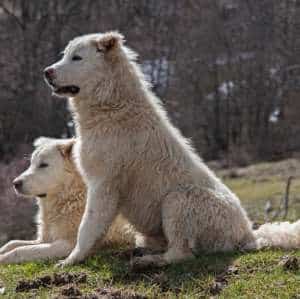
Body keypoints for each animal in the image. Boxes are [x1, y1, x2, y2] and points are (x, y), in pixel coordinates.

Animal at [44, 31, 300, 268]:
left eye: (77, 58)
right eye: (65, 55)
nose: (47, 72)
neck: (112, 107)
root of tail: (248, 233)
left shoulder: (103, 184)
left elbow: (86, 226)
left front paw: (71, 259)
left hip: (177, 201)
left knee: (180, 254)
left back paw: (148, 261)